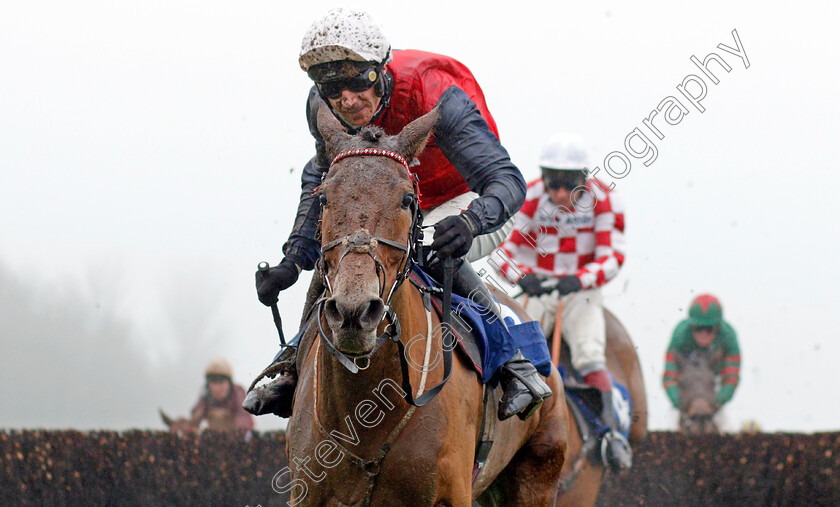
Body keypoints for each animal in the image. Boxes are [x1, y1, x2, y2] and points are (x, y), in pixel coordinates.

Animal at [284, 105, 572, 506]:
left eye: (407, 198)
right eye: (323, 197)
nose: (354, 312)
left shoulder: (451, 494)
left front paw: (459, 229)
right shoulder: (306, 493)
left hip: (539, 473)